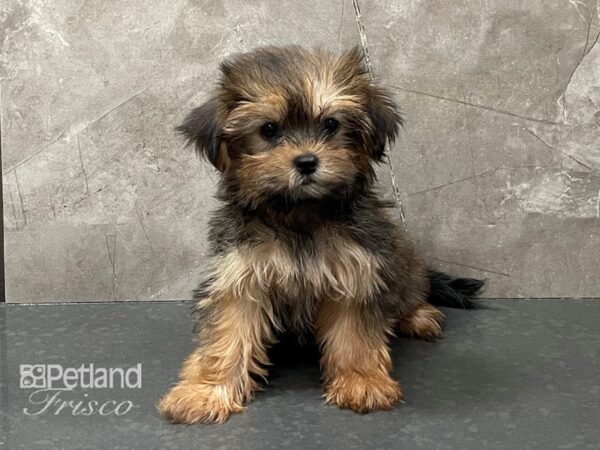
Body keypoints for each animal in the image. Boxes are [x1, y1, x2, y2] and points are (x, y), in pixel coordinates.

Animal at [158, 47, 482, 424]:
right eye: (269, 130)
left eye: (331, 125)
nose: (307, 161)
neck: (300, 215)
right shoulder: (240, 274)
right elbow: (227, 332)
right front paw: (206, 390)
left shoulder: (357, 271)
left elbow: (354, 334)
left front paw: (361, 381)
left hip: (400, 259)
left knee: (410, 290)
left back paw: (418, 316)